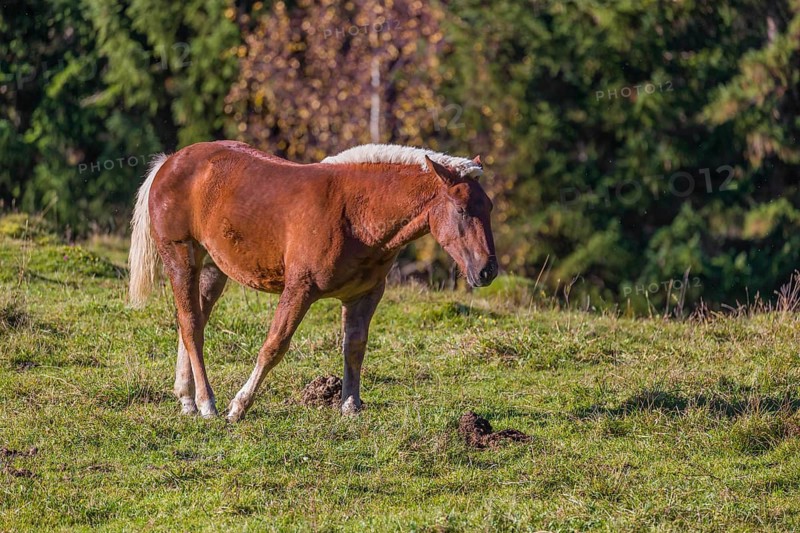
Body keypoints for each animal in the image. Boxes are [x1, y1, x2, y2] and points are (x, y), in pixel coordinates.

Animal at [128, 141, 497, 422]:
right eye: (462, 209)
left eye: (489, 207)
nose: (487, 271)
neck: (355, 213)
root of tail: (169, 162)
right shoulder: (299, 290)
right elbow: (274, 346)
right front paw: (239, 406)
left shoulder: (365, 295)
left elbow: (354, 348)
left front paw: (350, 406)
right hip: (181, 260)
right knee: (191, 324)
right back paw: (206, 403)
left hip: (213, 269)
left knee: (193, 321)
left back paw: (187, 399)